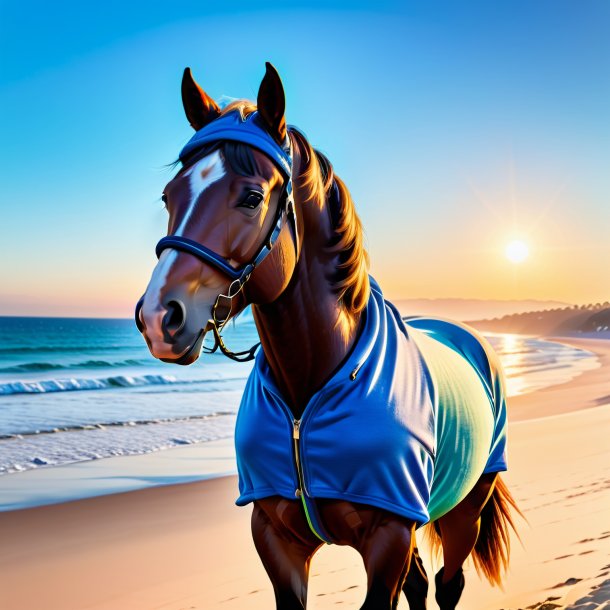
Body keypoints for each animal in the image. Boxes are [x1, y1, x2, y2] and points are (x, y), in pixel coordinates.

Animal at [135, 64, 520, 604]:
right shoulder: (276, 540)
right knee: (422, 584)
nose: (158, 317)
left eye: (252, 197)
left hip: (467, 507)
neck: (310, 391)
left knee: (448, 584)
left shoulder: (388, 539)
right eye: (170, 196)